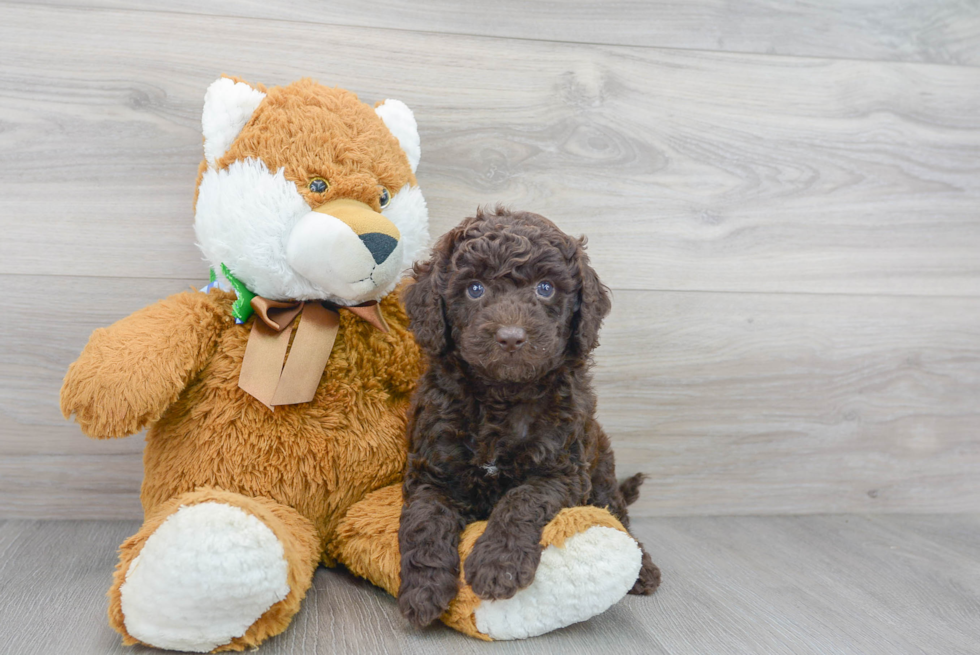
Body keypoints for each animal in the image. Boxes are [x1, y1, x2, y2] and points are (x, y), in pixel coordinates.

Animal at [396, 208, 660, 628]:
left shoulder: (560, 471)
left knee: (616, 514)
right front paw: (424, 589)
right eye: (474, 289)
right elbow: (425, 520)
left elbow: (520, 499)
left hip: (600, 471)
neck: (502, 396)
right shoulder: (432, 470)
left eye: (545, 288)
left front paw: (497, 565)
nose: (510, 337)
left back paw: (643, 569)